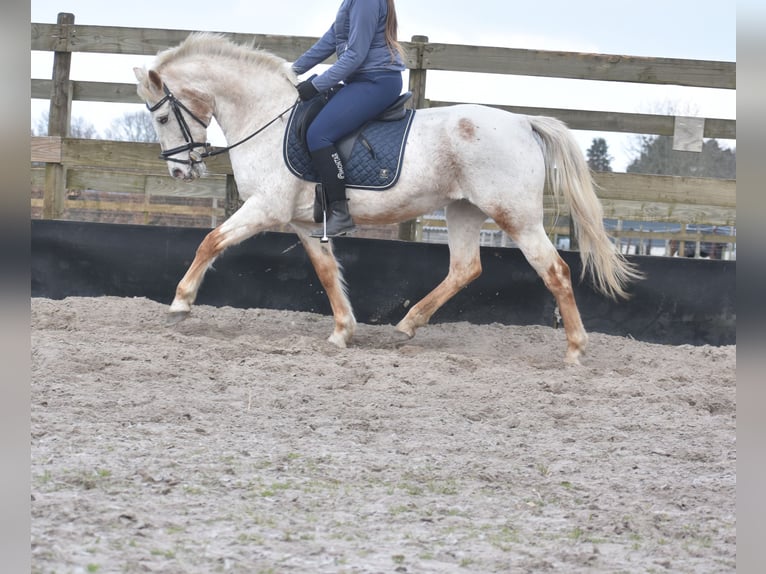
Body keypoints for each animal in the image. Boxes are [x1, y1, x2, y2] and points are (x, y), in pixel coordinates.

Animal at [135, 33, 644, 364]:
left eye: (160, 117)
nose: (179, 170)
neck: (268, 116)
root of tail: (521, 121)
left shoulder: (265, 207)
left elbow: (210, 242)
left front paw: (180, 304)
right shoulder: (304, 222)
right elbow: (326, 273)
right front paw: (343, 332)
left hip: (514, 216)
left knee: (554, 271)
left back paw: (575, 350)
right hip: (463, 210)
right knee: (465, 268)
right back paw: (407, 325)